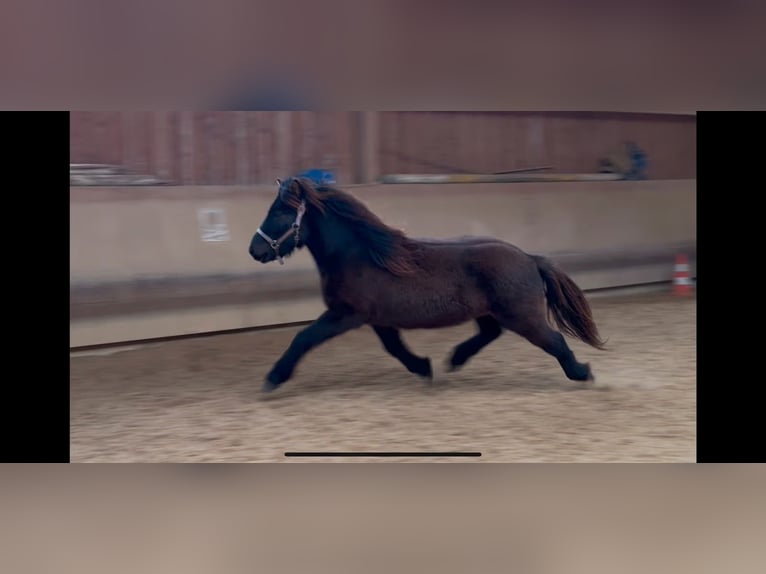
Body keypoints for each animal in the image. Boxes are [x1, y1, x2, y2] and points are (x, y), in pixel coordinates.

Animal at [248, 176, 607, 393]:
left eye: (280, 213)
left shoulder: (346, 314)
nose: (255, 250)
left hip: (523, 316)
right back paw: (456, 359)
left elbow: (303, 338)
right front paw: (423, 367)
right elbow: (394, 347)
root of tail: (530, 258)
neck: (357, 254)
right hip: (492, 313)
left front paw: (273, 378)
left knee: (554, 341)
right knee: (490, 333)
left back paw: (582, 372)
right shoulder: (377, 319)